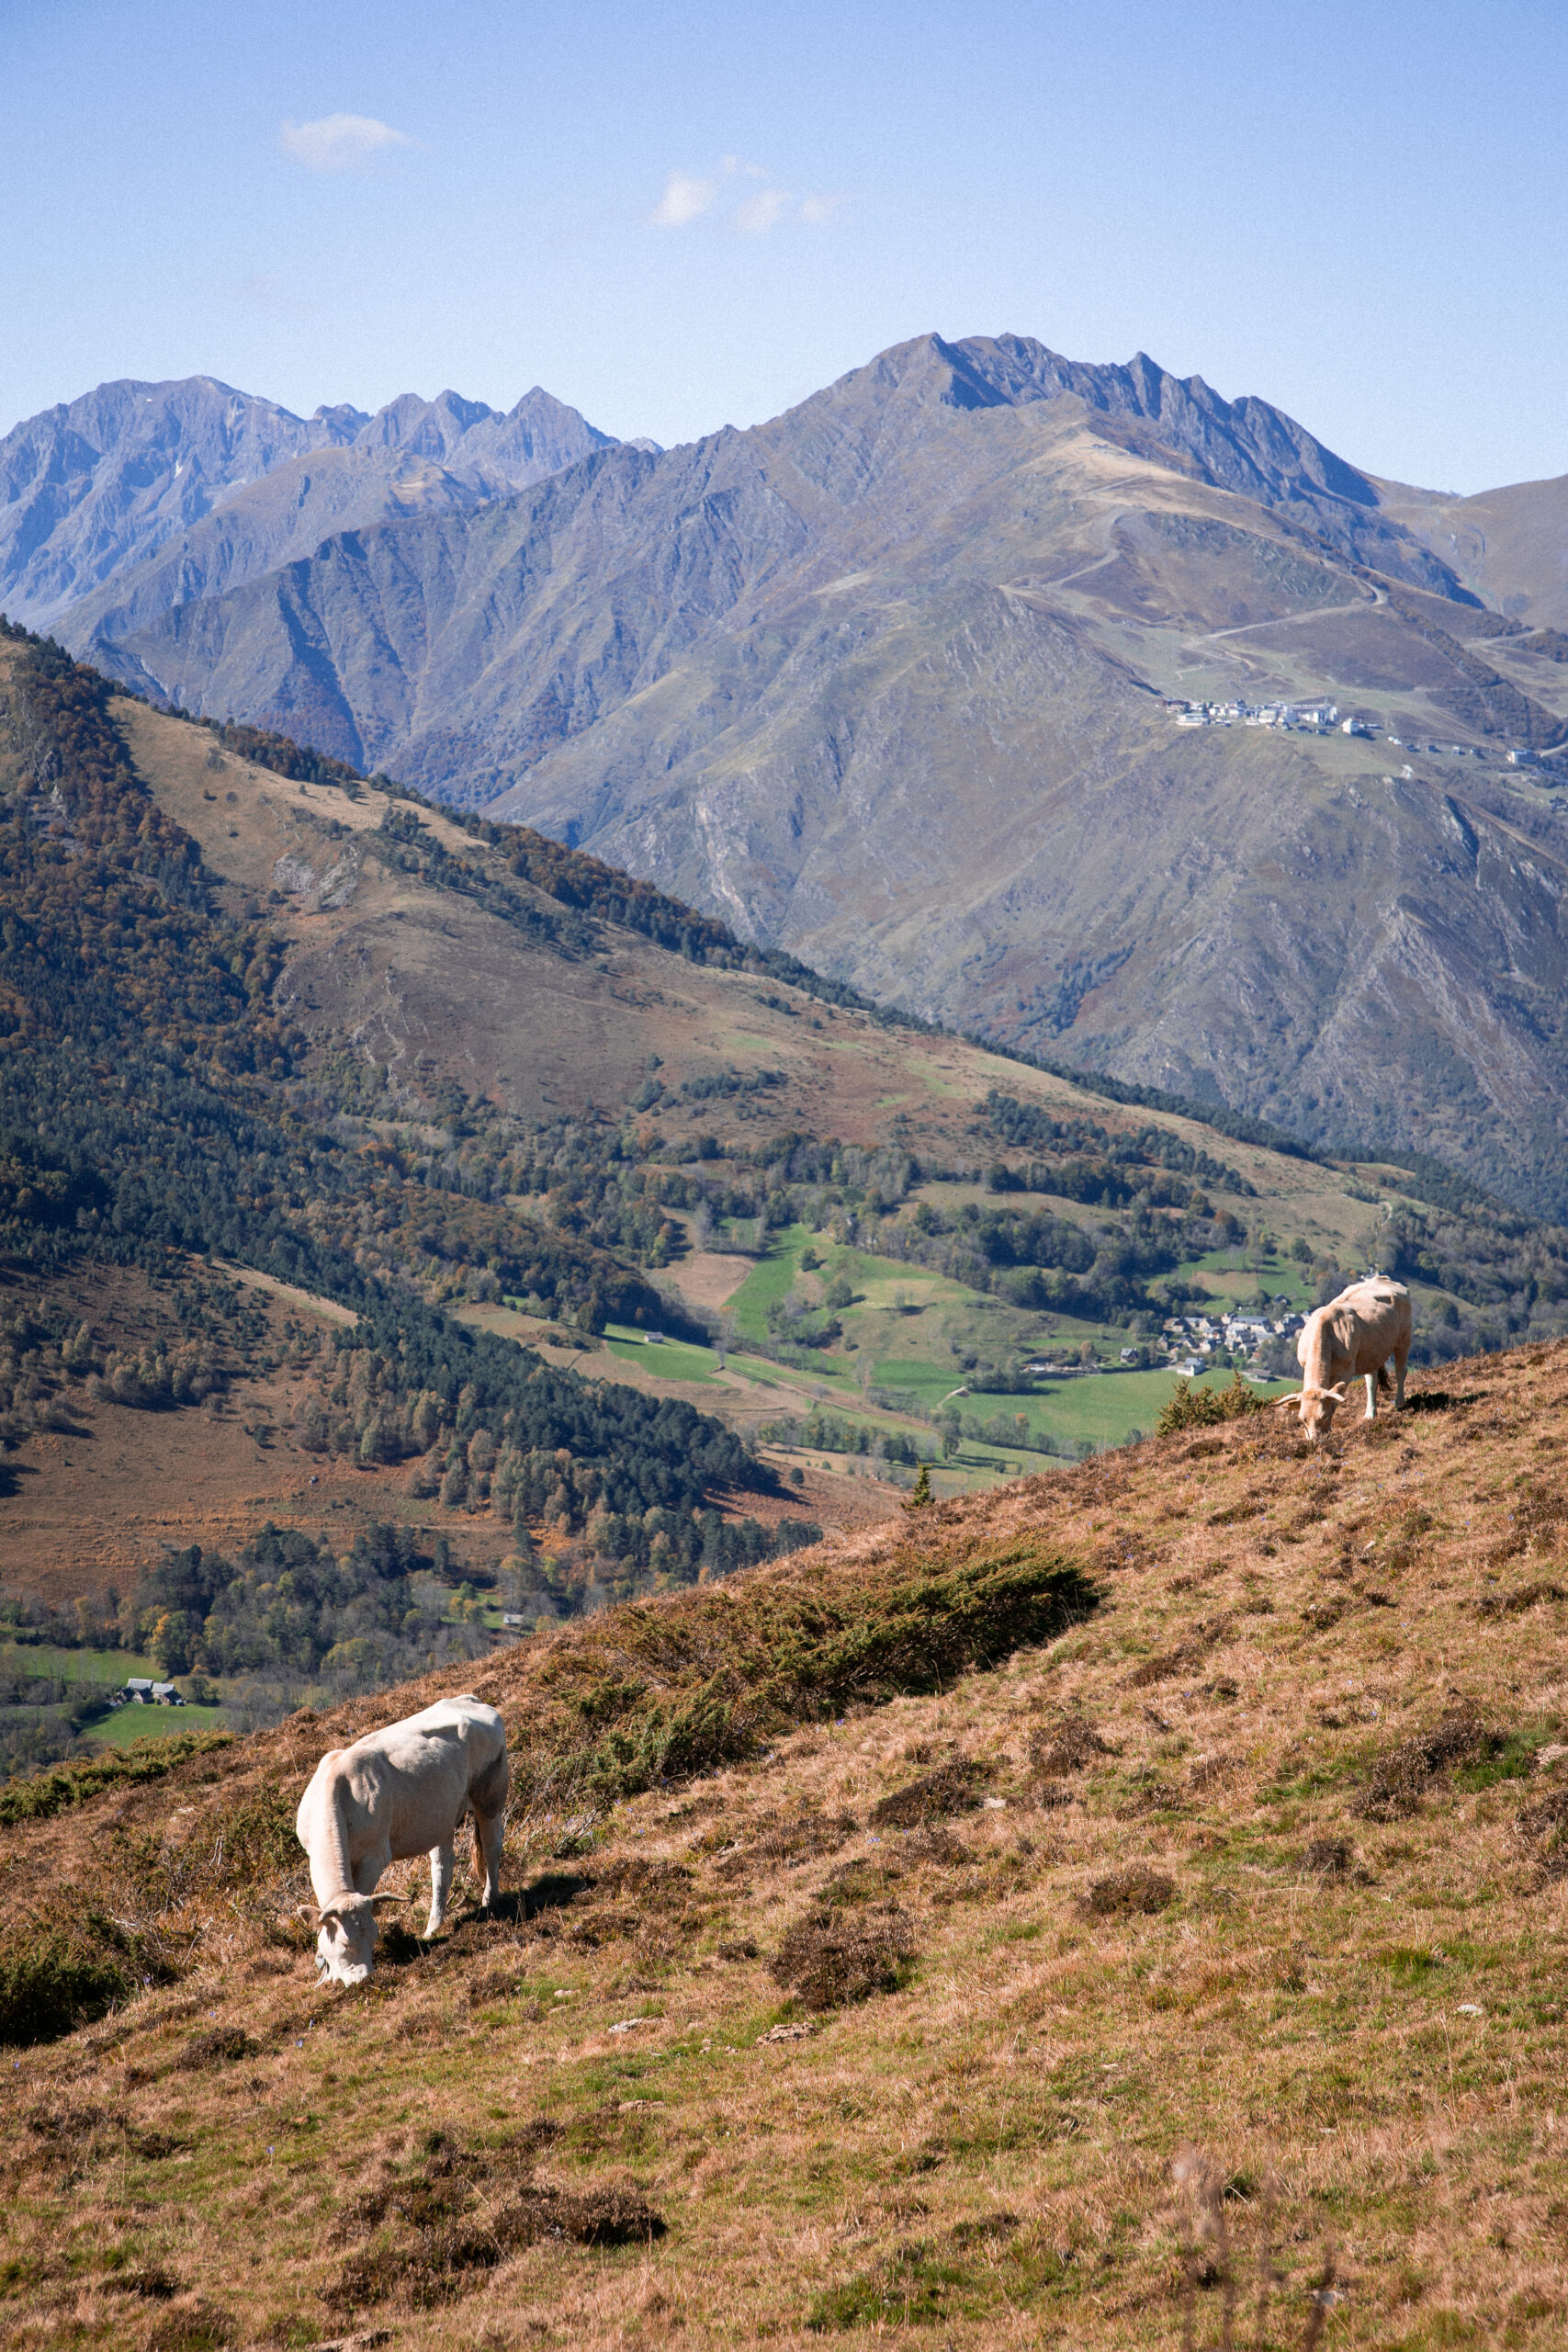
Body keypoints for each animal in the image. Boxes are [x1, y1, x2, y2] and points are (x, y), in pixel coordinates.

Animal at [293, 1693, 510, 1984]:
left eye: (373, 1937)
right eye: (344, 1944)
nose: (364, 1979)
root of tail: (470, 1699)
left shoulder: (374, 1856)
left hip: (491, 1795)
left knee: (491, 1846)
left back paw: (490, 1900)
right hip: (440, 1816)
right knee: (443, 1865)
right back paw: (434, 1925)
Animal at [1279, 1279, 1419, 1439]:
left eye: (1324, 1416)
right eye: (1303, 1419)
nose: (1315, 1440)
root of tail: (1383, 1278)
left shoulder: (1346, 1370)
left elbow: (1334, 1400)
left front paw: (1329, 1430)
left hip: (1404, 1338)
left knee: (1401, 1371)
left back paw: (1399, 1402)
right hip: (1371, 1353)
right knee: (1371, 1379)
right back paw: (1370, 1413)